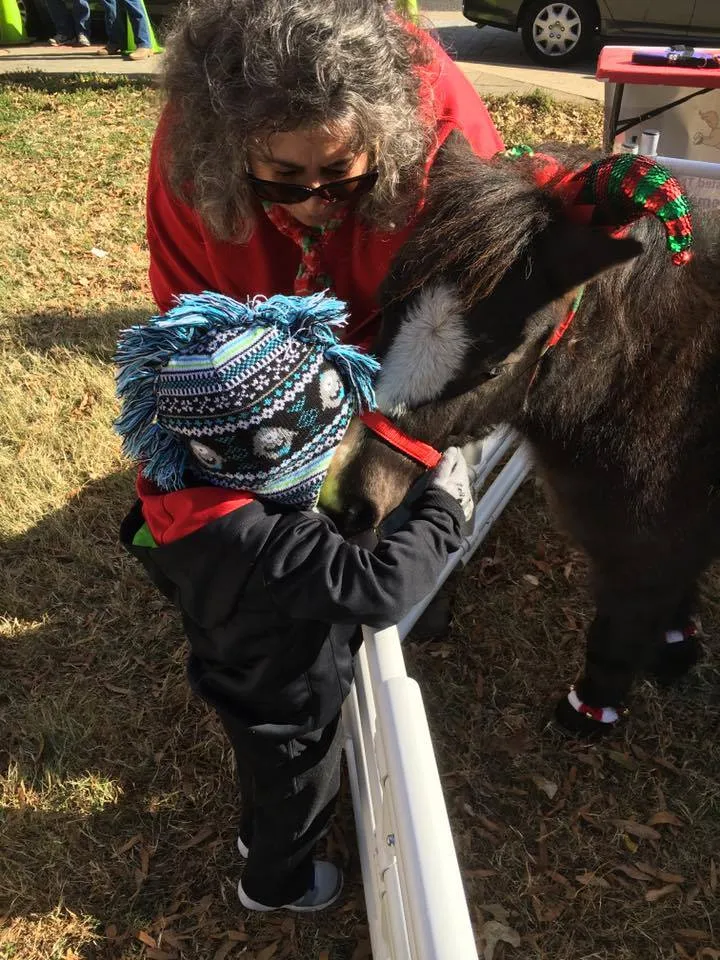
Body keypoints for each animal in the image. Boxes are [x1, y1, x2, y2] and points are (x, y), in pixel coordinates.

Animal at [323, 132, 720, 737]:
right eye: (387, 305)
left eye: (494, 367)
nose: (344, 498)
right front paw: (677, 650)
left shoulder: (642, 555)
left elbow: (618, 630)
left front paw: (587, 713)